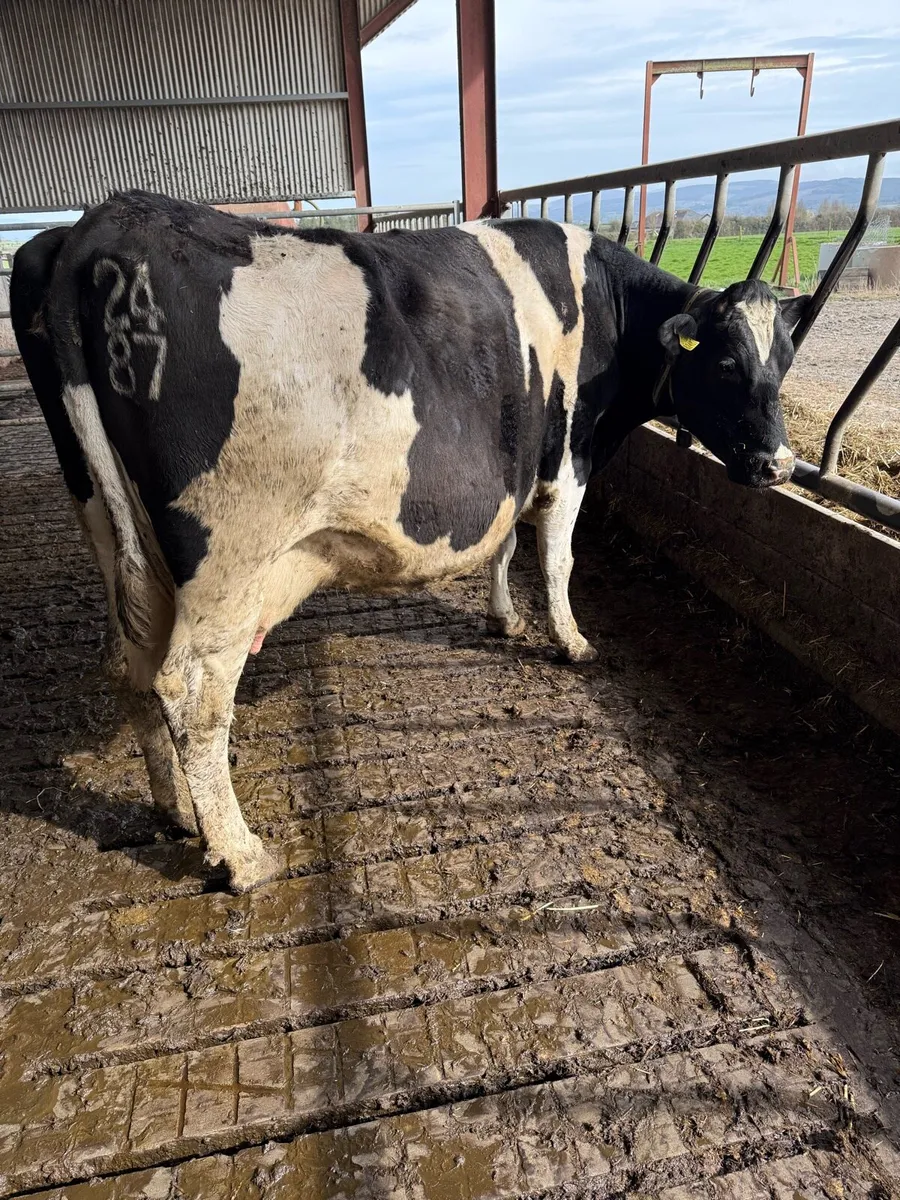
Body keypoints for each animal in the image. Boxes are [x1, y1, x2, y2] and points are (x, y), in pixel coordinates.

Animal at [11, 190, 810, 892]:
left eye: (784, 361)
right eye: (727, 364)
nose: (778, 464)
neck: (604, 301)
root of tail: (109, 221)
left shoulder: (518, 466)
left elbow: (506, 545)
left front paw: (504, 619)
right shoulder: (568, 458)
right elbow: (556, 558)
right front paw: (572, 641)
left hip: (114, 531)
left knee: (131, 668)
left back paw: (177, 811)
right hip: (227, 557)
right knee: (189, 690)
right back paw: (240, 853)